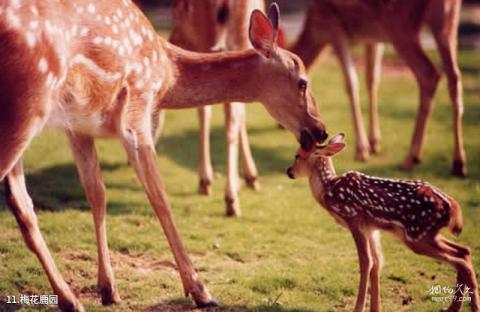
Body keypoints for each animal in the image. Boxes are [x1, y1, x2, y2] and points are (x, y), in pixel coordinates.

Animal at [169, 0, 264, 217]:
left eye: (177, 10)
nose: (172, 39)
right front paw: (248, 177)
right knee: (230, 116)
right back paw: (230, 197)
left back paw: (229, 195)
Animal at [286, 133, 478, 312]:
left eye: (298, 155)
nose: (289, 171)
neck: (329, 190)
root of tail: (452, 206)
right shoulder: (372, 228)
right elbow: (377, 262)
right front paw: (375, 308)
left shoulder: (354, 219)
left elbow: (366, 262)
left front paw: (358, 308)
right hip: (428, 234)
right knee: (464, 251)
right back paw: (456, 307)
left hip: (416, 235)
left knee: (461, 261)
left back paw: (468, 307)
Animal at [290, 0, 466, 177]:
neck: (316, 28)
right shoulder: (372, 39)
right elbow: (372, 78)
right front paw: (374, 143)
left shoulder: (334, 26)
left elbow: (351, 82)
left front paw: (362, 150)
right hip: (447, 23)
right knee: (454, 77)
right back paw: (458, 164)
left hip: (400, 24)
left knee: (429, 74)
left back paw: (411, 158)